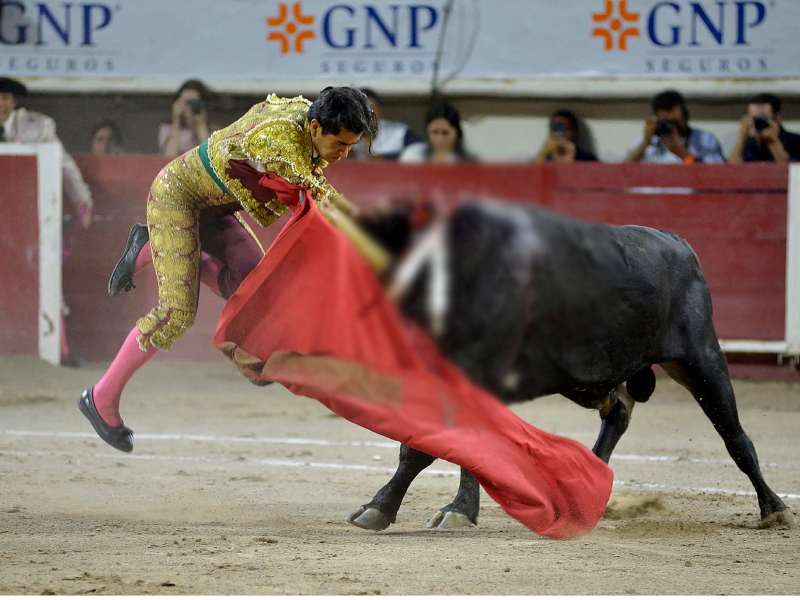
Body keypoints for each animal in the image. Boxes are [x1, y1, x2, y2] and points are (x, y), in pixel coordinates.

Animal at [346, 200, 796, 528]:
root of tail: (677, 242)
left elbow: (443, 445)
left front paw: (447, 511)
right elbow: (427, 445)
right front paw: (383, 507)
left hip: (701, 358)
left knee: (735, 437)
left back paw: (775, 510)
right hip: (585, 378)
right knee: (619, 410)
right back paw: (585, 497)